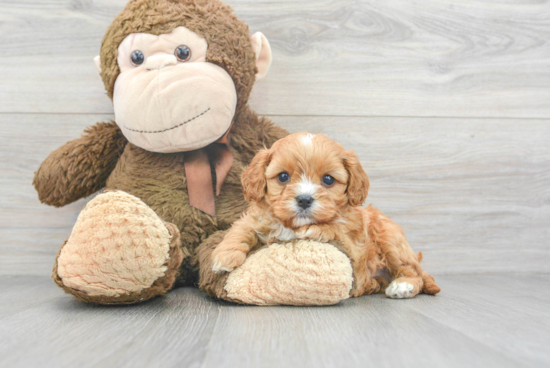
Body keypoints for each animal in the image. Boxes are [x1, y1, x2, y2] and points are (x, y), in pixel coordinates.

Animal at [211, 132, 440, 300]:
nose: (304, 199)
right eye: (283, 176)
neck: (291, 225)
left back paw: (403, 286)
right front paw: (224, 256)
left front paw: (313, 229)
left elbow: (333, 227)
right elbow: (242, 227)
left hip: (391, 240)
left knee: (414, 272)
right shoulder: (259, 218)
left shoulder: (353, 245)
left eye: (328, 180)